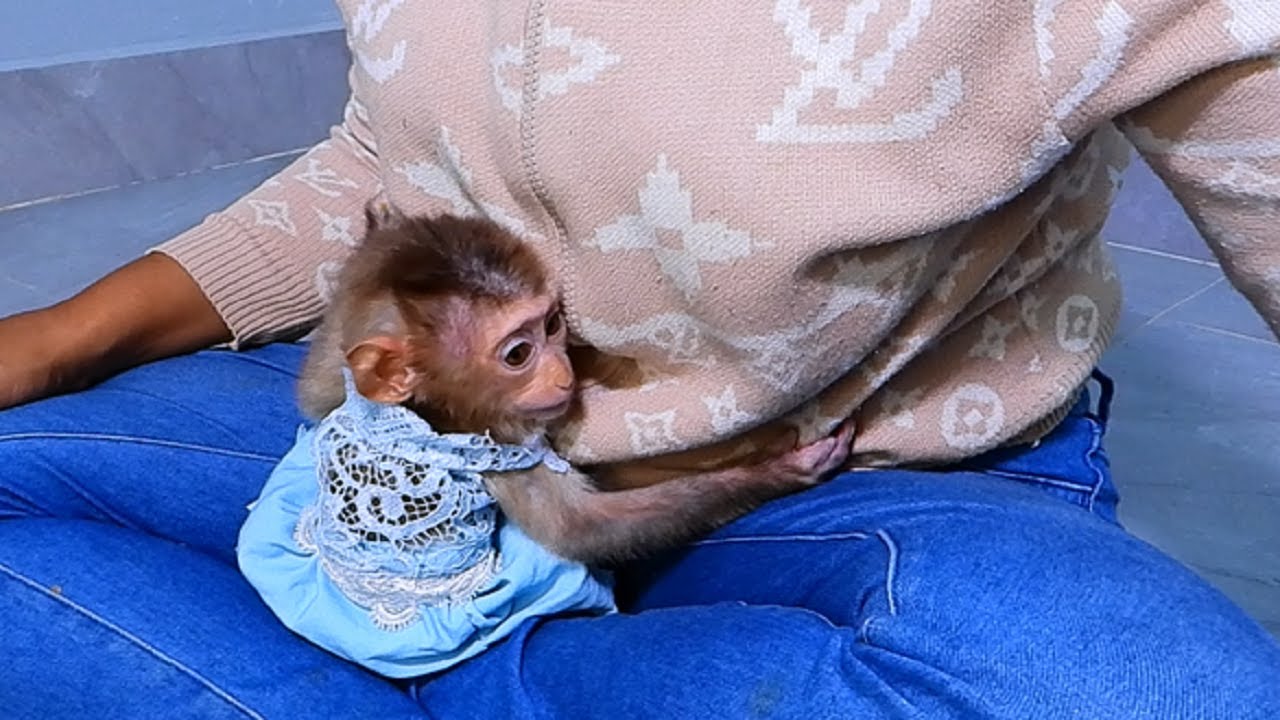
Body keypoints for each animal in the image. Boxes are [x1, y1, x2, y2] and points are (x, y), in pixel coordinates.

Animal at [297, 206, 855, 565]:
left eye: (551, 326)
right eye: (518, 355)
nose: (564, 373)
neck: (431, 414)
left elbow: (319, 381)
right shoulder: (498, 447)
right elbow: (584, 530)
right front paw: (781, 469)